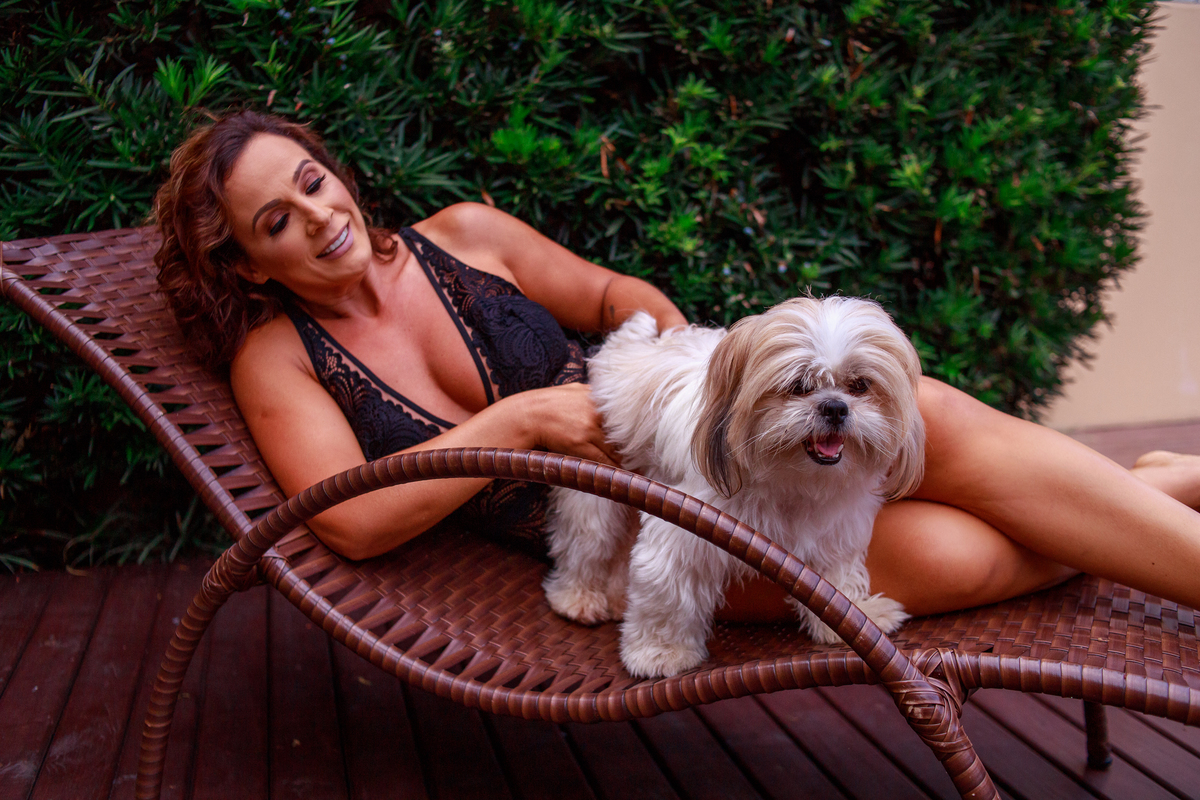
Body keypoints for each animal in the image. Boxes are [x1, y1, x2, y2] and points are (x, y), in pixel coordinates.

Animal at [542, 296, 926, 678]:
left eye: (860, 385)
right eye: (799, 385)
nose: (835, 407)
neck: (792, 481)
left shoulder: (837, 530)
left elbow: (837, 582)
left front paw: (856, 622)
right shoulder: (686, 528)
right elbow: (668, 595)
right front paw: (660, 653)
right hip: (597, 485)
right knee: (585, 542)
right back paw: (577, 598)